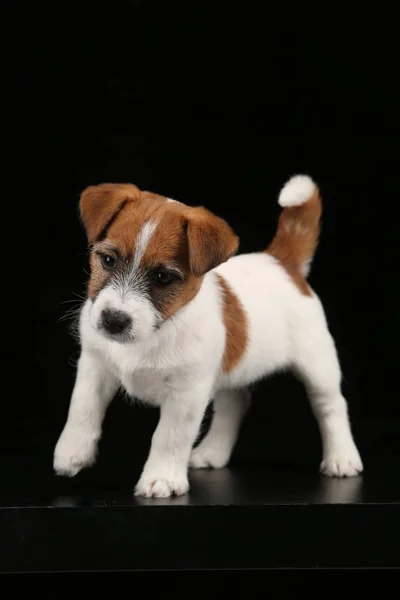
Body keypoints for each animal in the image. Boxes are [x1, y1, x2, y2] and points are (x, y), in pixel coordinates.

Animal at [54, 176, 364, 500]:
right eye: (108, 260)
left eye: (163, 277)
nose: (114, 320)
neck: (155, 333)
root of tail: (281, 263)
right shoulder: (95, 365)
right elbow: (82, 408)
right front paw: (71, 453)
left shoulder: (186, 393)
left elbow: (169, 436)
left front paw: (162, 478)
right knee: (234, 403)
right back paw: (213, 452)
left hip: (318, 365)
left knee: (330, 406)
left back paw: (342, 458)